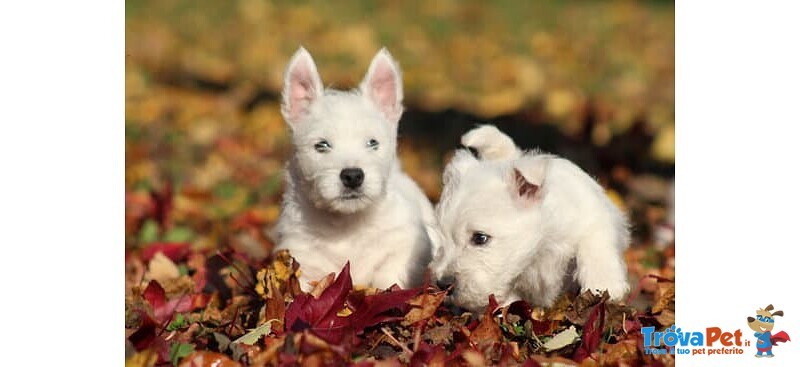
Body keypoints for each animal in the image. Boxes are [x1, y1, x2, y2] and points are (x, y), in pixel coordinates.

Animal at [276, 47, 438, 292]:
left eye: (372, 143)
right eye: (321, 145)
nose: (352, 176)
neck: (347, 224)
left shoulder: (406, 244)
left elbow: (389, 277)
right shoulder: (302, 259)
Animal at [432, 125, 632, 312]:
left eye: (480, 238)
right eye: (441, 238)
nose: (443, 284)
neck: (539, 250)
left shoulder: (590, 213)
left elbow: (594, 242)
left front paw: (604, 284)